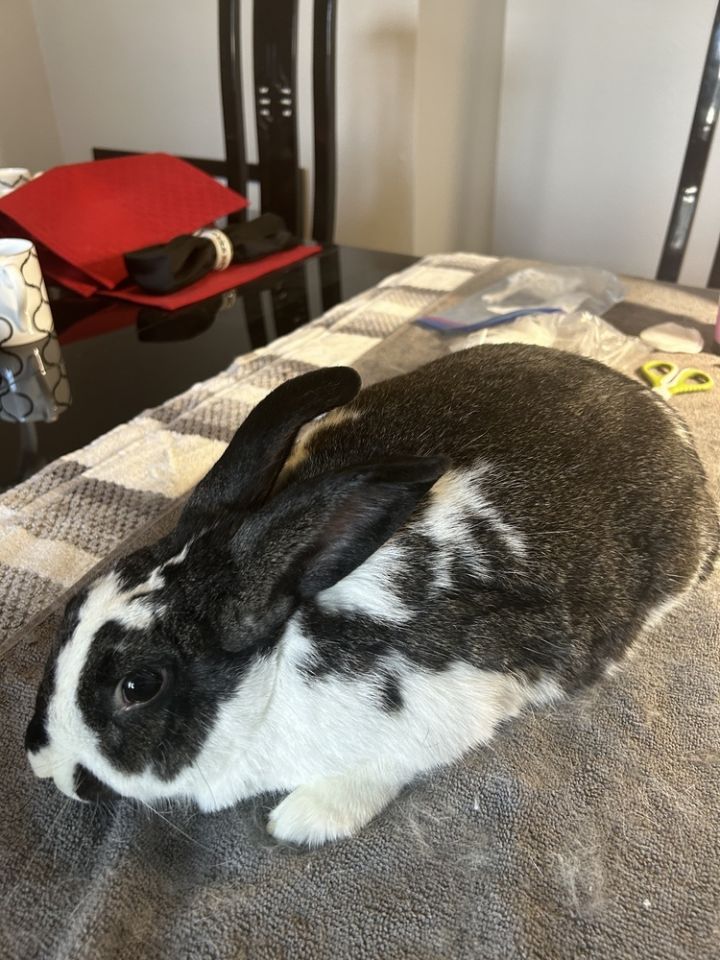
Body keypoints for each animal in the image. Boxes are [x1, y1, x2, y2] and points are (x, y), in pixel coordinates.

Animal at [26, 344, 718, 846]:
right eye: (71, 612)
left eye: (139, 685)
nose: (41, 765)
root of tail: (663, 414)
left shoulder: (441, 711)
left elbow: (382, 770)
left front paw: (301, 820)